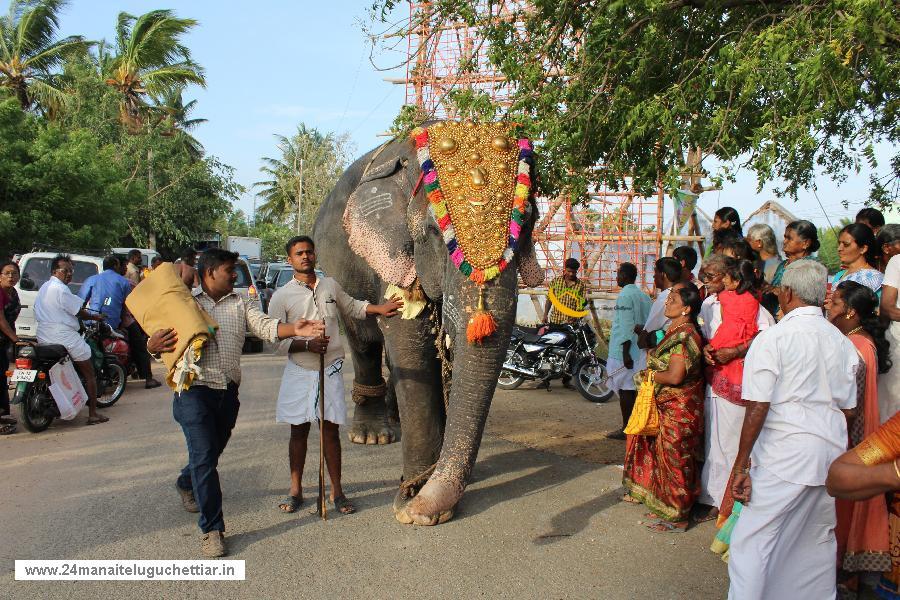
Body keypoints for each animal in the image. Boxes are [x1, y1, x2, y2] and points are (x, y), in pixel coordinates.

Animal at [312, 119, 544, 524]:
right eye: (436, 234)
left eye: (527, 222)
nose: (413, 507)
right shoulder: (391, 254)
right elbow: (408, 340)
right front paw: (414, 501)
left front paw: (441, 485)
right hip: (338, 272)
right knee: (365, 342)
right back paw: (374, 436)